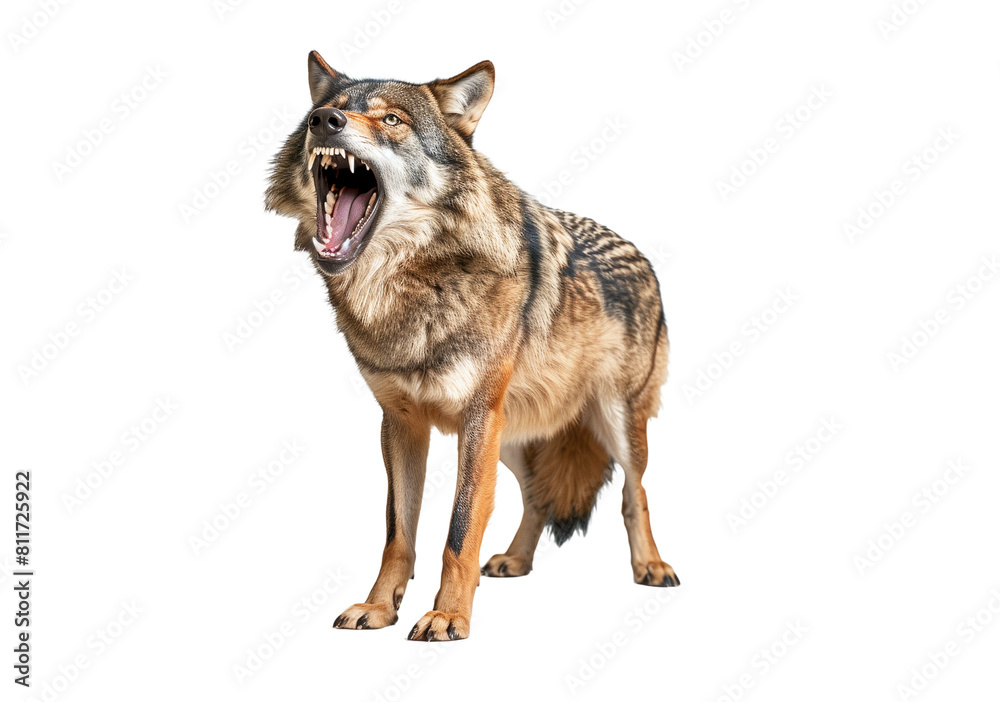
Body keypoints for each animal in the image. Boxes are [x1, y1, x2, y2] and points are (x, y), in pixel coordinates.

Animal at [265, 51, 679, 641]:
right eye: (324, 112)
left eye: (391, 120)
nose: (325, 122)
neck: (410, 289)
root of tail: (642, 255)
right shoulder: (401, 423)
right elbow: (398, 533)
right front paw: (379, 607)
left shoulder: (478, 415)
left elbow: (459, 532)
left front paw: (447, 616)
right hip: (510, 438)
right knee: (536, 496)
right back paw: (515, 561)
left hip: (612, 423)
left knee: (634, 493)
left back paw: (651, 566)